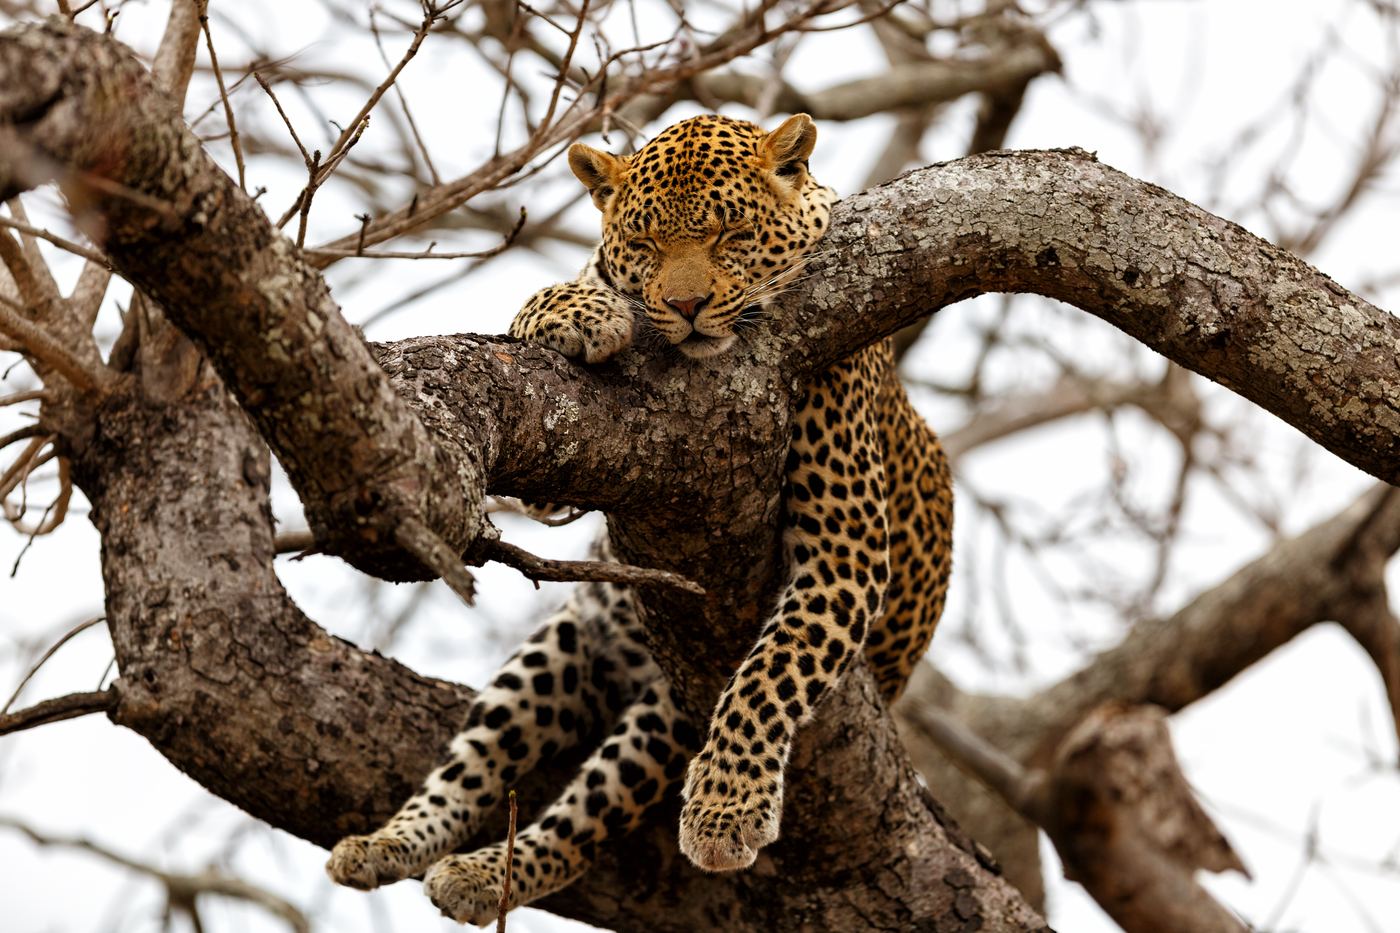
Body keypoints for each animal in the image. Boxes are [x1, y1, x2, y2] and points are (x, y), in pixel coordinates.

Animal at [326, 113, 953, 925]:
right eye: (647, 245)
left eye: (730, 235)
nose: (685, 307)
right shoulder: (555, 485)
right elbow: (551, 307)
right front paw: (580, 308)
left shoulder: (844, 555)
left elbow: (767, 679)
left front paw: (726, 807)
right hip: (572, 638)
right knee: (475, 763)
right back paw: (394, 843)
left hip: (665, 708)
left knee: (583, 819)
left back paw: (484, 871)